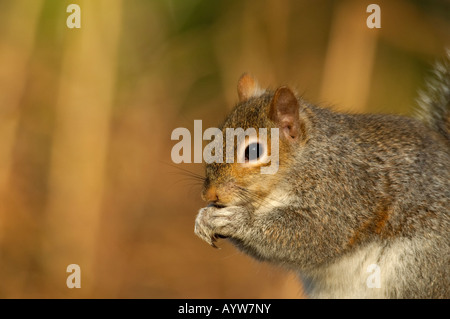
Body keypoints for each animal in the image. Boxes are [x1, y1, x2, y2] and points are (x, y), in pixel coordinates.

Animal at [194, 52, 450, 300]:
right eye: (215, 138)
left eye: (254, 151)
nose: (209, 194)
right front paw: (204, 217)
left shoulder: (341, 193)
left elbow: (315, 234)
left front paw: (235, 219)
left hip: (417, 268)